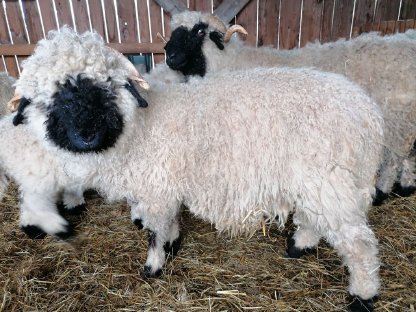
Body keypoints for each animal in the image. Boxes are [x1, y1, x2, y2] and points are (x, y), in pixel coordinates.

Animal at [7, 26, 384, 310]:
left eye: (105, 87)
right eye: (53, 99)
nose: (87, 136)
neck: (138, 127)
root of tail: (368, 113)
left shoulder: (156, 188)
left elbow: (154, 231)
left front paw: (153, 267)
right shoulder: (165, 185)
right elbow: (169, 223)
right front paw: (173, 244)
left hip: (331, 181)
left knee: (359, 244)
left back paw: (363, 295)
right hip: (318, 184)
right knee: (317, 221)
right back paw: (299, 246)